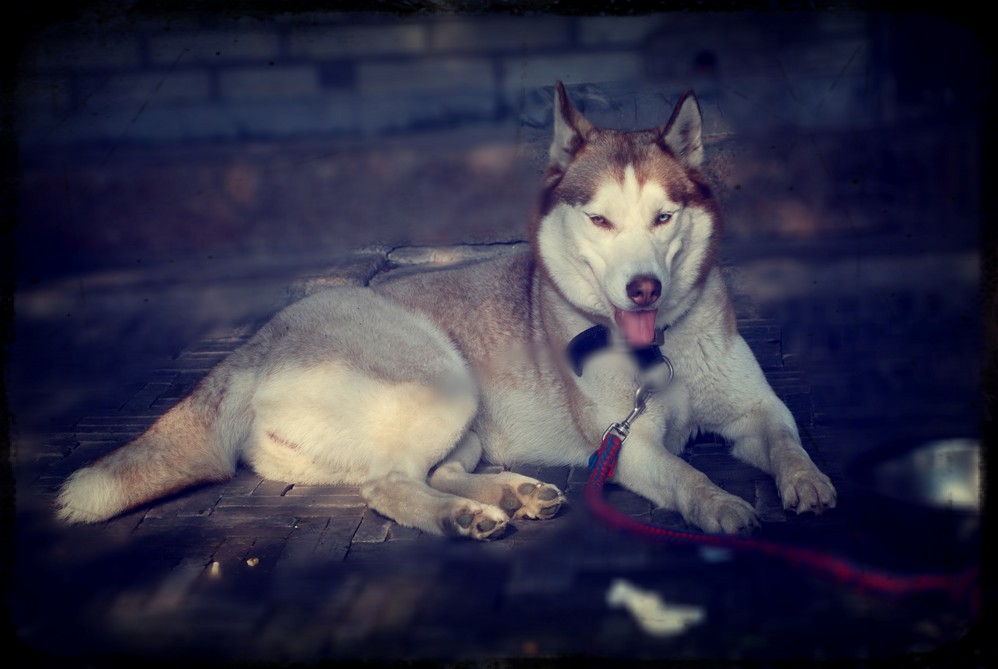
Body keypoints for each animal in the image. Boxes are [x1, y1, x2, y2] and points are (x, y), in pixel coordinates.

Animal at [56, 82, 837, 540]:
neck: (660, 350)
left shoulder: (756, 410)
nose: (642, 289)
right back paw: (466, 516)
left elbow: (786, 439)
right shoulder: (628, 445)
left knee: (426, 472)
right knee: (389, 485)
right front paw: (722, 505)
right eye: (601, 221)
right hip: (443, 379)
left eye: (664, 216)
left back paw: (516, 493)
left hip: (456, 424)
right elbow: (686, 475)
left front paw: (806, 483)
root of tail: (254, 343)